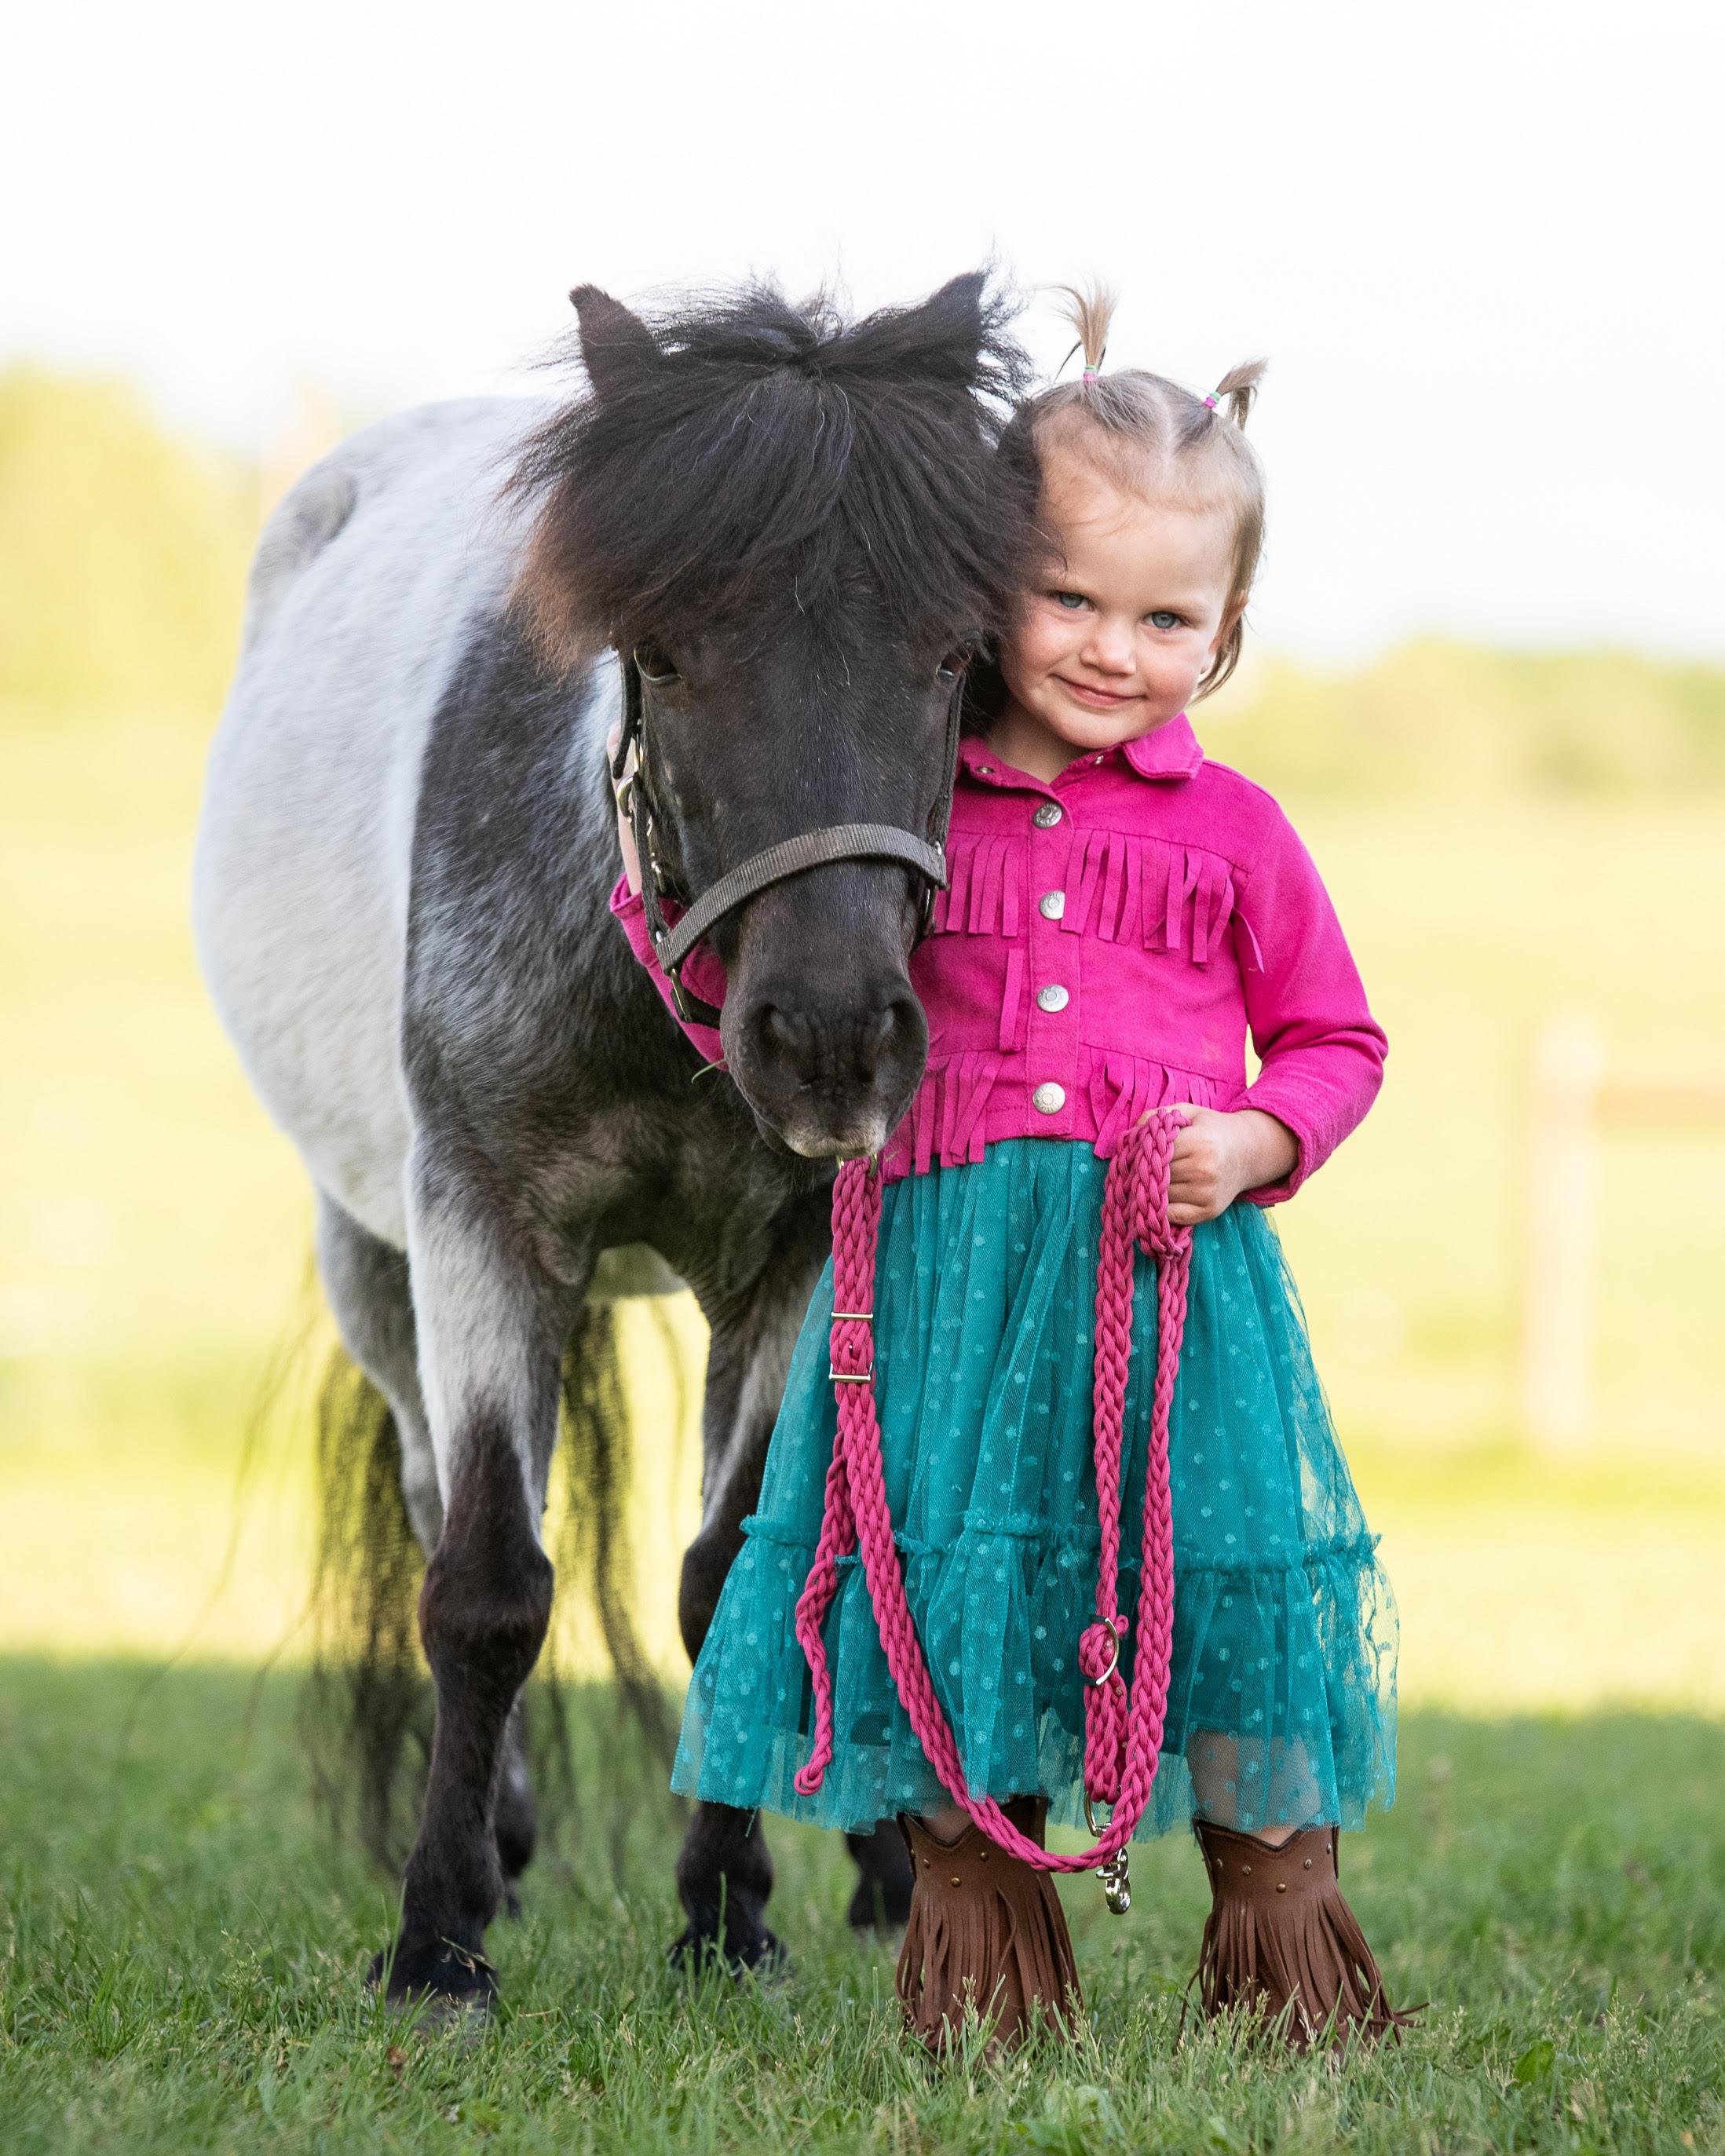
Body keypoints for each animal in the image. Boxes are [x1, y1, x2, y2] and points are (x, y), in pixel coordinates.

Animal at [192, 272, 1032, 2010]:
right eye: (661, 651)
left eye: (952, 659)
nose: (831, 1036)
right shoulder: (484, 1225)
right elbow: (486, 1586)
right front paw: (436, 1935)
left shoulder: (787, 1260)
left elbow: (731, 1576)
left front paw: (730, 1908)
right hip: (370, 1258)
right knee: (433, 1495)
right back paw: (503, 1848)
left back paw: (880, 1863)